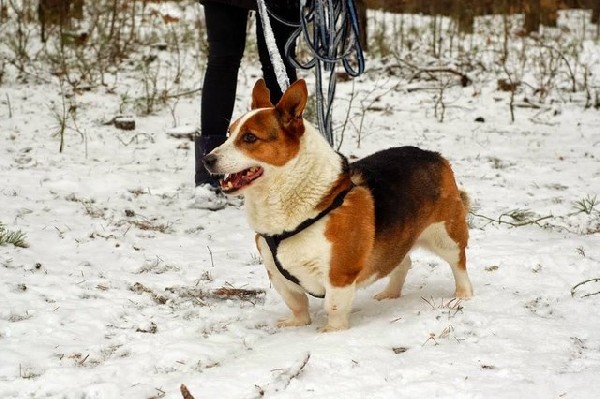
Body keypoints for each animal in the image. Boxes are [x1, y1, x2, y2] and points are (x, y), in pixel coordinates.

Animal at [204, 78, 472, 332]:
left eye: (249, 137)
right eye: (229, 133)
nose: (207, 159)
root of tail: (435, 155)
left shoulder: (339, 274)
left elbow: (334, 306)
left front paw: (332, 331)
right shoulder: (278, 275)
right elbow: (296, 303)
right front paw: (297, 323)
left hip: (446, 236)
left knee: (458, 264)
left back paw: (463, 294)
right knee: (401, 262)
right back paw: (390, 294)